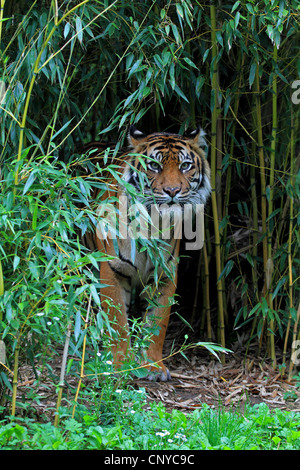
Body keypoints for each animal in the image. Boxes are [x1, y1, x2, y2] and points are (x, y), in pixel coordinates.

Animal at [91, 126, 211, 382]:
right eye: (154, 166)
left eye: (185, 165)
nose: (173, 191)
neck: (153, 223)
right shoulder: (112, 271)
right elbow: (118, 321)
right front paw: (121, 364)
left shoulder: (165, 275)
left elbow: (158, 323)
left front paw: (153, 365)